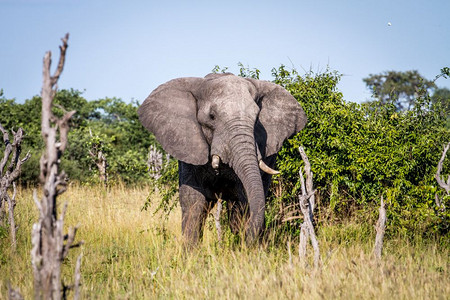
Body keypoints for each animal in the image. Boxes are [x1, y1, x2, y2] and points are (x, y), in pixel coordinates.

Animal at [139, 72, 308, 244]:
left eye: (256, 119)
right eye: (212, 116)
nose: (250, 242)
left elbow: (242, 200)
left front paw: (241, 245)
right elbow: (193, 201)